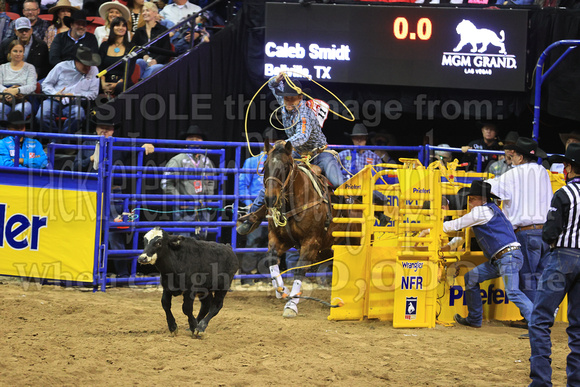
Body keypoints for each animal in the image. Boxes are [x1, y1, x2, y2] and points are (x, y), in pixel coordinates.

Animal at [262, 141, 358, 316]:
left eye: (285, 166)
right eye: (265, 165)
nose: (270, 199)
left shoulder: (311, 243)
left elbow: (299, 270)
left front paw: (291, 305)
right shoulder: (279, 238)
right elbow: (271, 259)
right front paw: (282, 290)